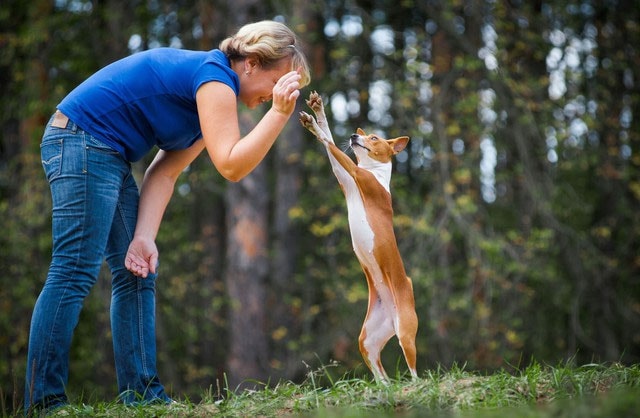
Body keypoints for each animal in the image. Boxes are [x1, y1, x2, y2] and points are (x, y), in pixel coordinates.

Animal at [300, 91, 420, 382]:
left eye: (374, 138)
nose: (355, 136)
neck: (374, 172)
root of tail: (392, 315)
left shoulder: (357, 175)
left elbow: (328, 141)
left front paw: (314, 125)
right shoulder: (345, 178)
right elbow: (331, 142)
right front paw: (318, 112)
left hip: (406, 332)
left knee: (414, 370)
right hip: (367, 340)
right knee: (381, 372)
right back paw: (384, 387)